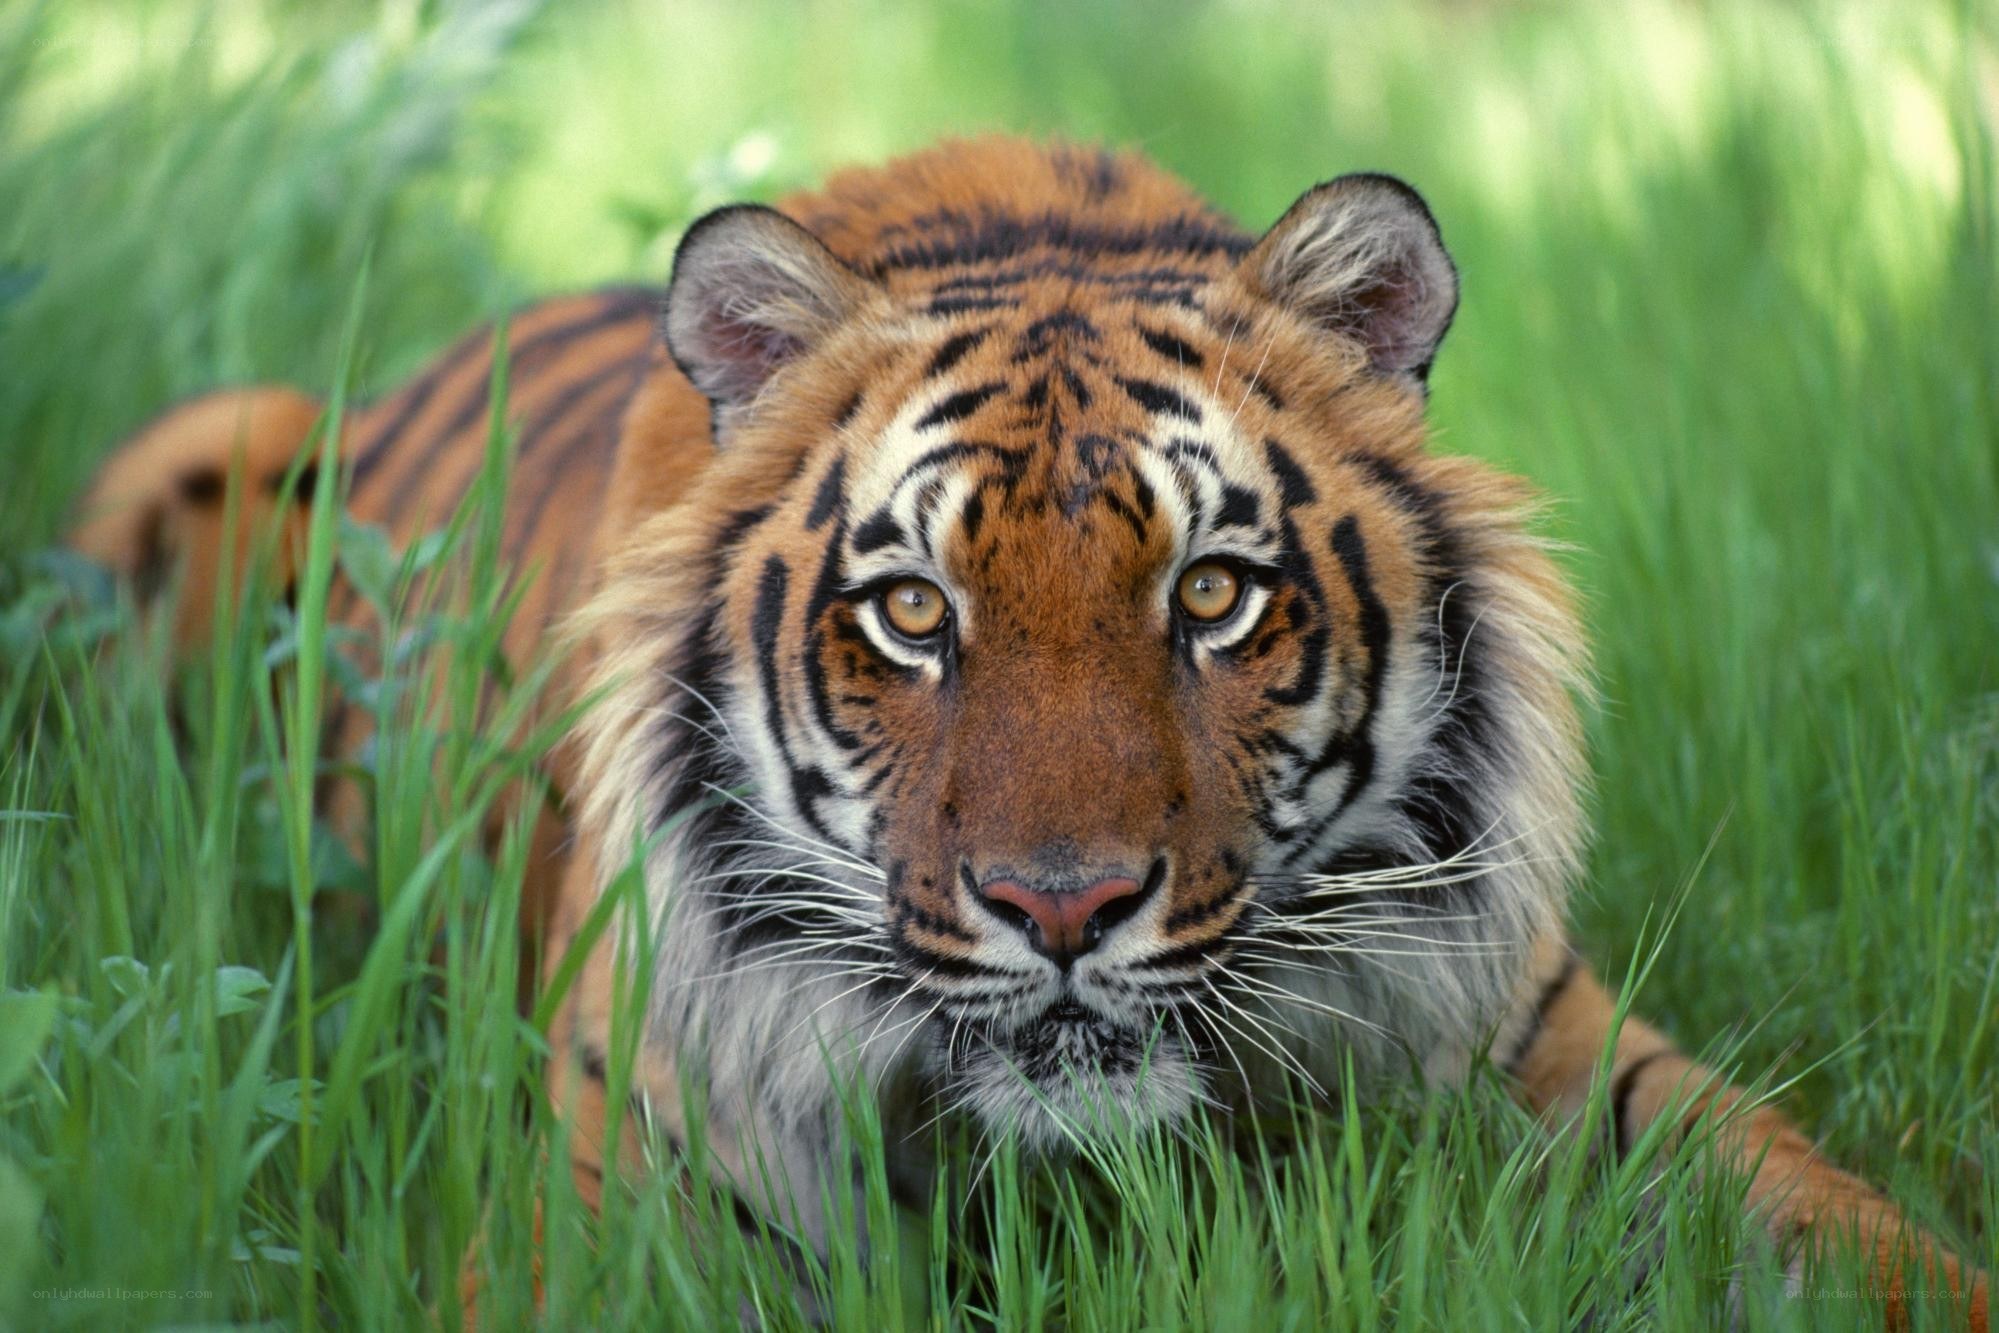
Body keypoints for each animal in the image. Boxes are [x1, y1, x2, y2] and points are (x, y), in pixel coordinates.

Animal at [71, 136, 1987, 1325]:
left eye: (1210, 595)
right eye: (913, 613)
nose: (1060, 908)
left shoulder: (1549, 1046)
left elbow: (1850, 1237)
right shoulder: (630, 1192)